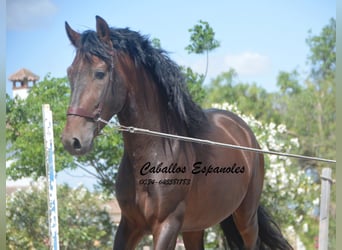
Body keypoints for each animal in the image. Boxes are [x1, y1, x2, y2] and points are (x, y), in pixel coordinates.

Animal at [61, 16, 292, 249]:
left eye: (100, 74)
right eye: (70, 73)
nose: (72, 140)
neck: (156, 154)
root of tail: (245, 133)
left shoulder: (167, 225)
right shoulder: (129, 225)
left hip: (246, 219)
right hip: (195, 227)